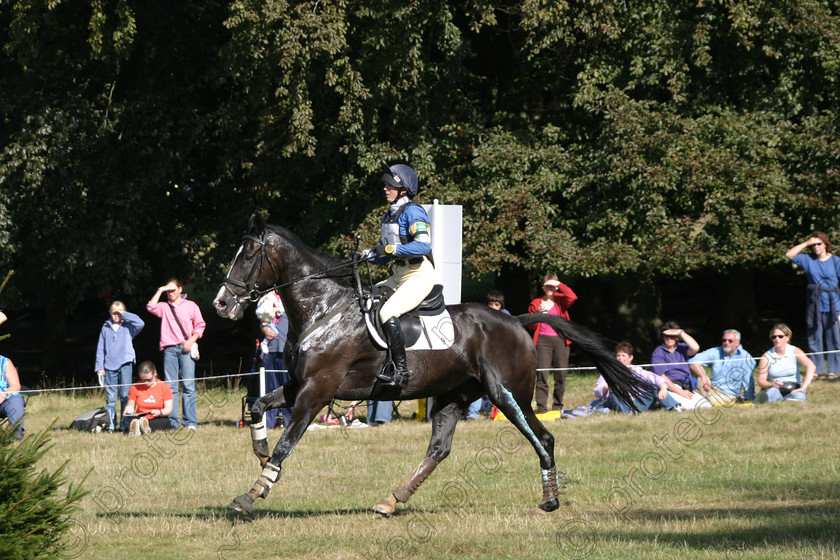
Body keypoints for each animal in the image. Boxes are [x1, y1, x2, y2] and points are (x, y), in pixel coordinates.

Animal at [213, 213, 648, 516]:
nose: (220, 303)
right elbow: (257, 406)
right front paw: (260, 451)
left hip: (507, 395)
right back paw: (392, 500)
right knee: (439, 449)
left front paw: (252, 493)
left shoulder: (318, 390)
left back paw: (549, 501)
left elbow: (288, 442)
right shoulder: (299, 384)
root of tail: (516, 321)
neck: (323, 309)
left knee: (543, 437)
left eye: (248, 255)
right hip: (454, 395)